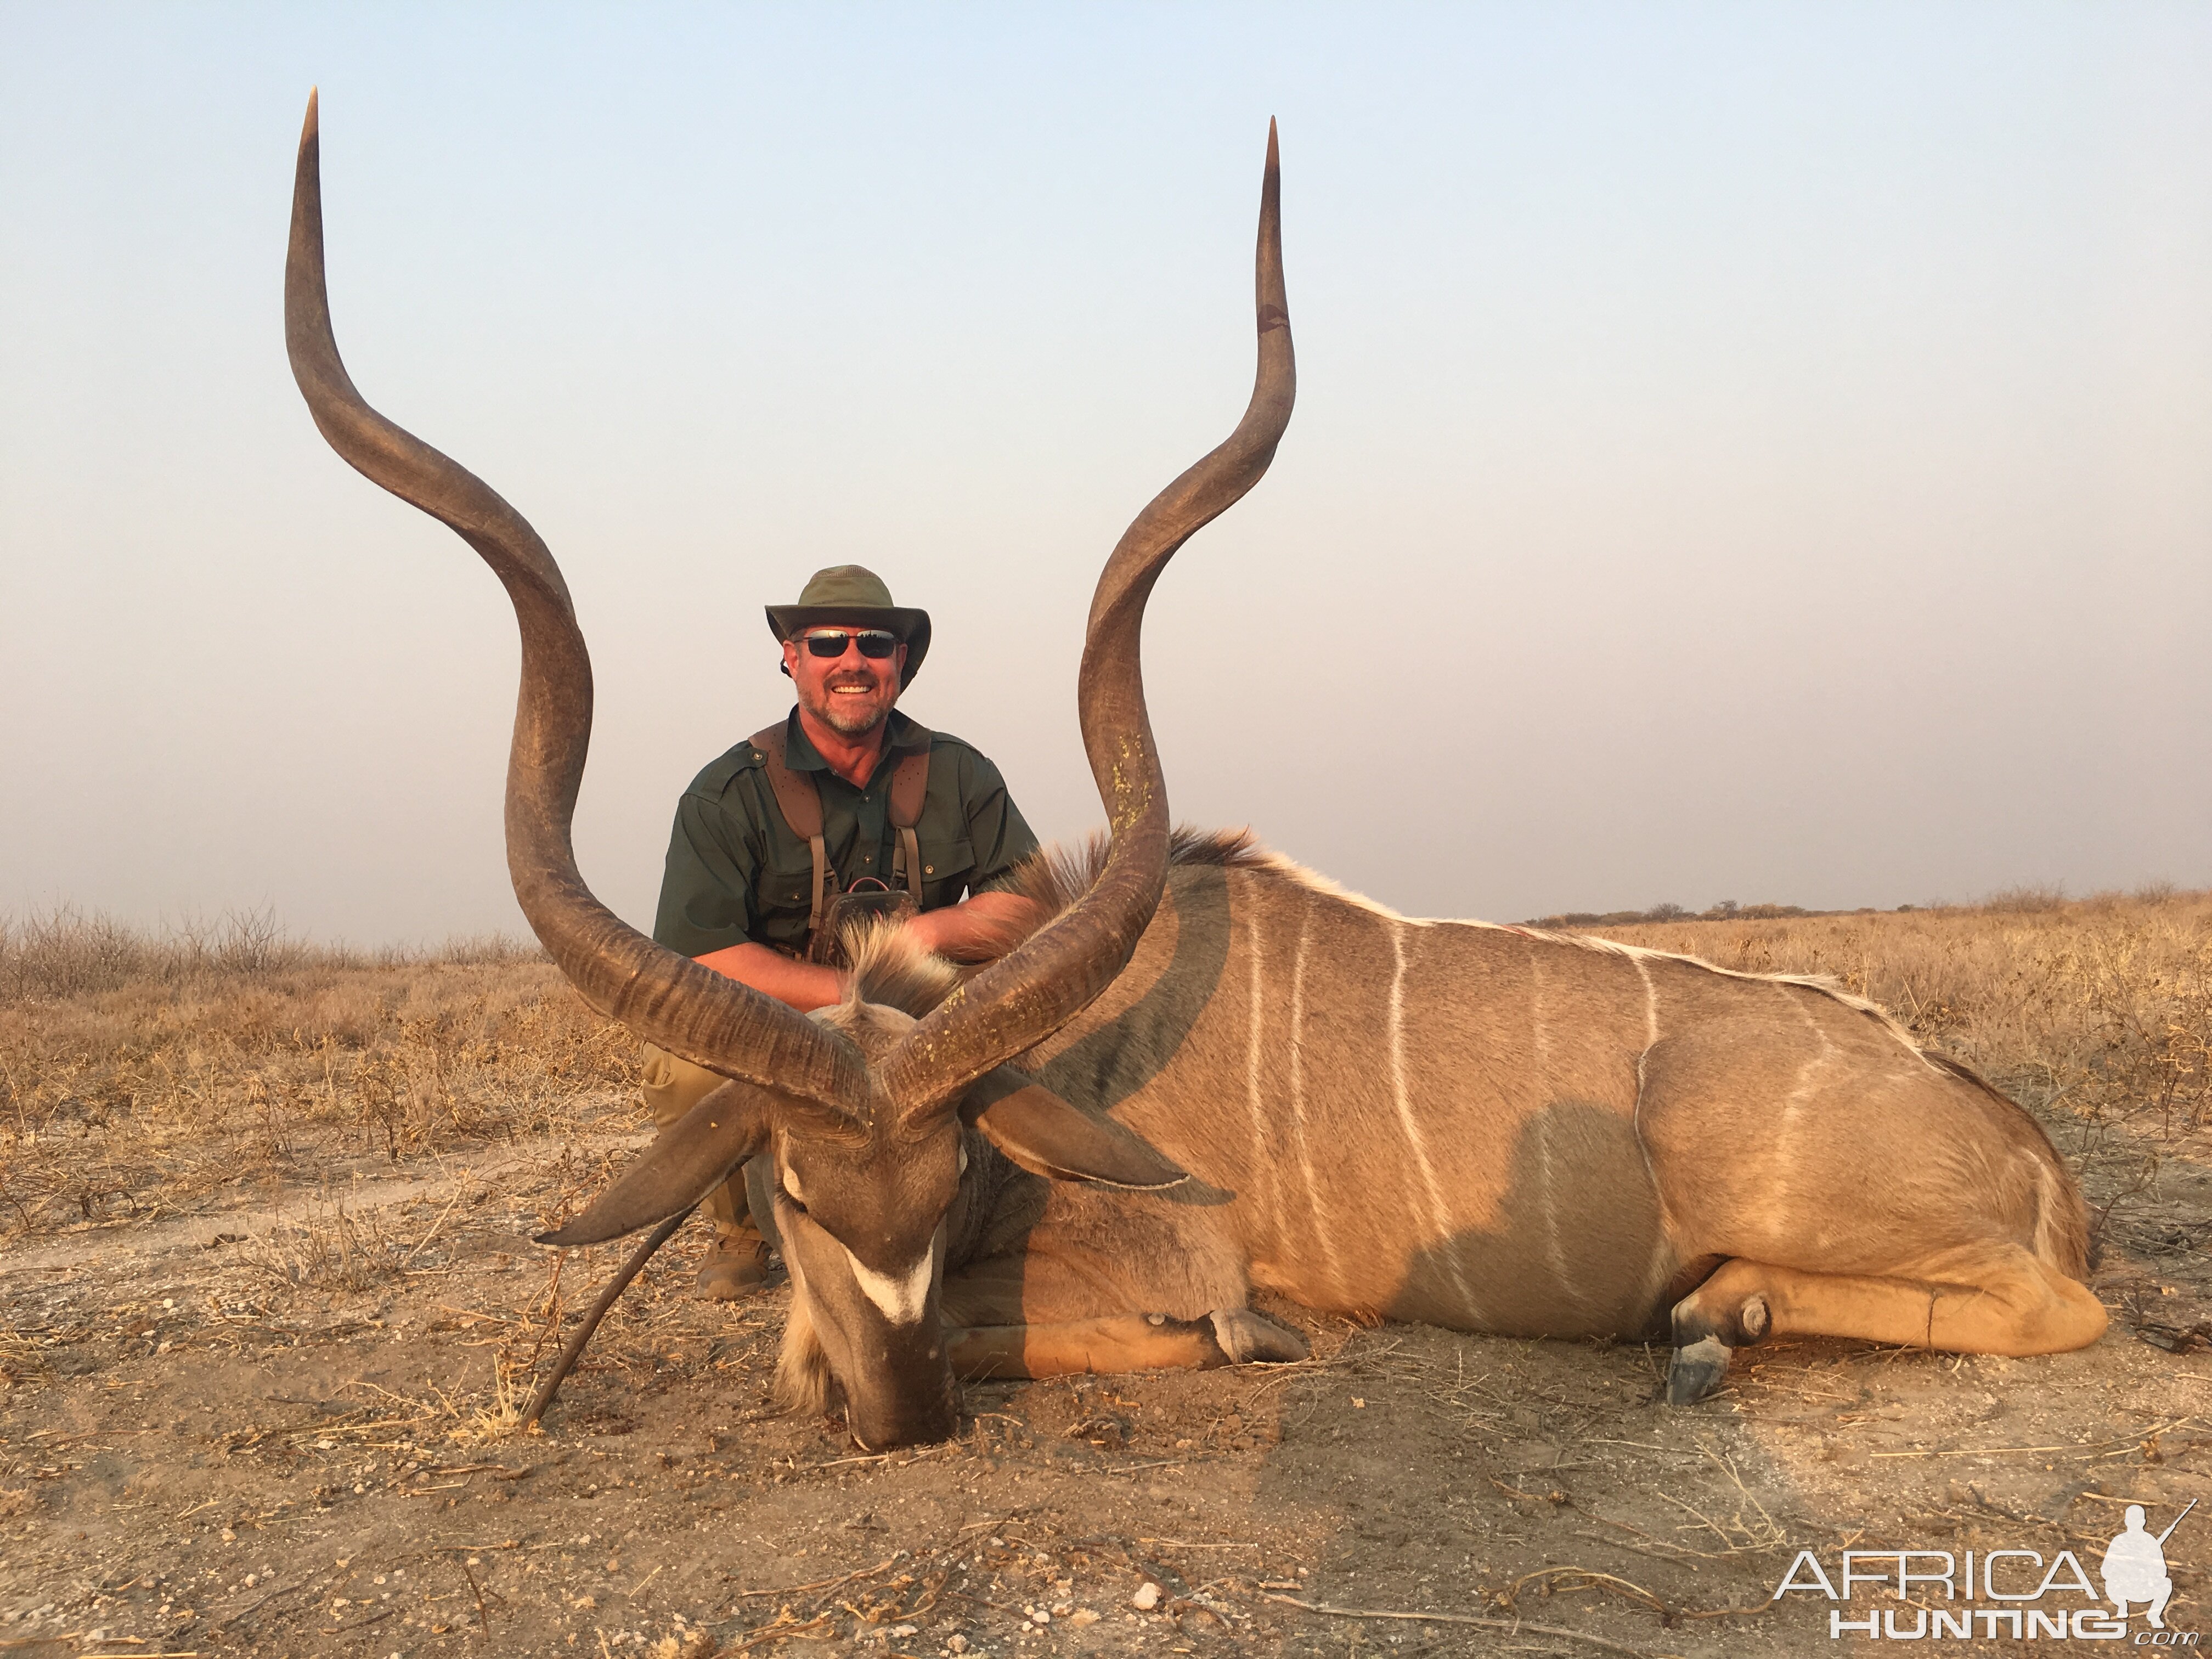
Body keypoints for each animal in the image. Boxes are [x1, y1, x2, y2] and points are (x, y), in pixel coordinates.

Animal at [285, 97, 2097, 1451]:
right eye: (796, 1192)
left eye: (953, 1179)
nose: (908, 1416)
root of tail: (2018, 1140)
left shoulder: (1188, 1277)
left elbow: (1147, 1333)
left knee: (2062, 1309)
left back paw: (1717, 1322)